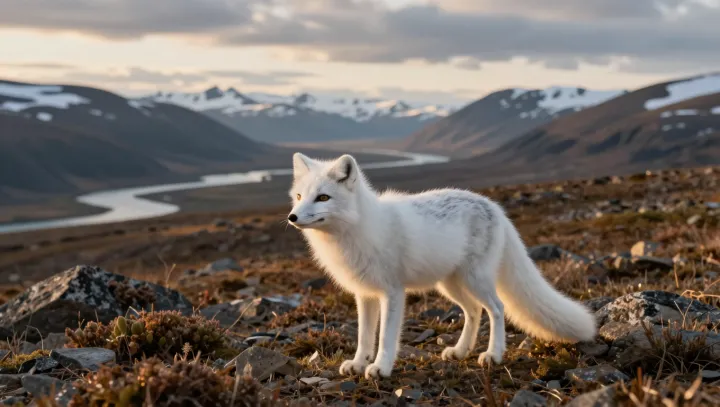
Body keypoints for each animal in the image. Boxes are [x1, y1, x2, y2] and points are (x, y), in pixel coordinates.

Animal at [287, 152, 597, 380]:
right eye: (300, 197)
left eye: (323, 197)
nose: (292, 217)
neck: (357, 230)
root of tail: (495, 207)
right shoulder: (364, 294)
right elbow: (364, 336)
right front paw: (358, 363)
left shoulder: (393, 292)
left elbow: (385, 337)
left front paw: (381, 368)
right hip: (450, 284)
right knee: (474, 311)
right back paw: (460, 351)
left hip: (475, 279)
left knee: (497, 308)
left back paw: (493, 354)